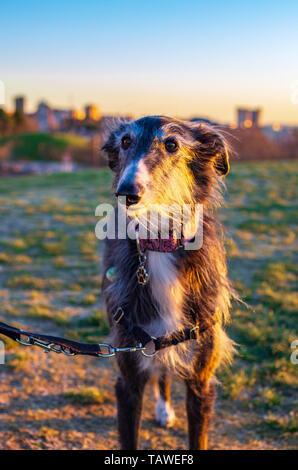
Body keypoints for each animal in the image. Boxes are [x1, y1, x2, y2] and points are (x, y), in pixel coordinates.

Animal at [101, 115, 234, 450]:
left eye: (171, 144)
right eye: (125, 141)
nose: (126, 193)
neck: (159, 246)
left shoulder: (201, 381)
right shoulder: (128, 379)